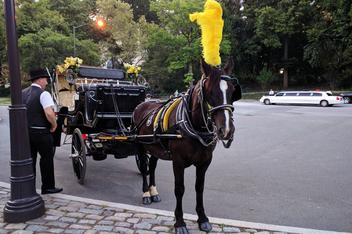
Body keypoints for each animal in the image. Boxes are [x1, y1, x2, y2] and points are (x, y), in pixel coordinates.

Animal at [133, 59, 242, 233]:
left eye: (233, 91)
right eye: (210, 91)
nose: (226, 130)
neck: (195, 126)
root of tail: (143, 104)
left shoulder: (205, 162)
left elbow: (199, 187)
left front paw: (202, 218)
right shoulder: (178, 162)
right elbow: (179, 189)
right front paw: (179, 222)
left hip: (155, 148)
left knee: (153, 167)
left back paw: (153, 191)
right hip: (140, 146)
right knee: (144, 168)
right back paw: (146, 194)